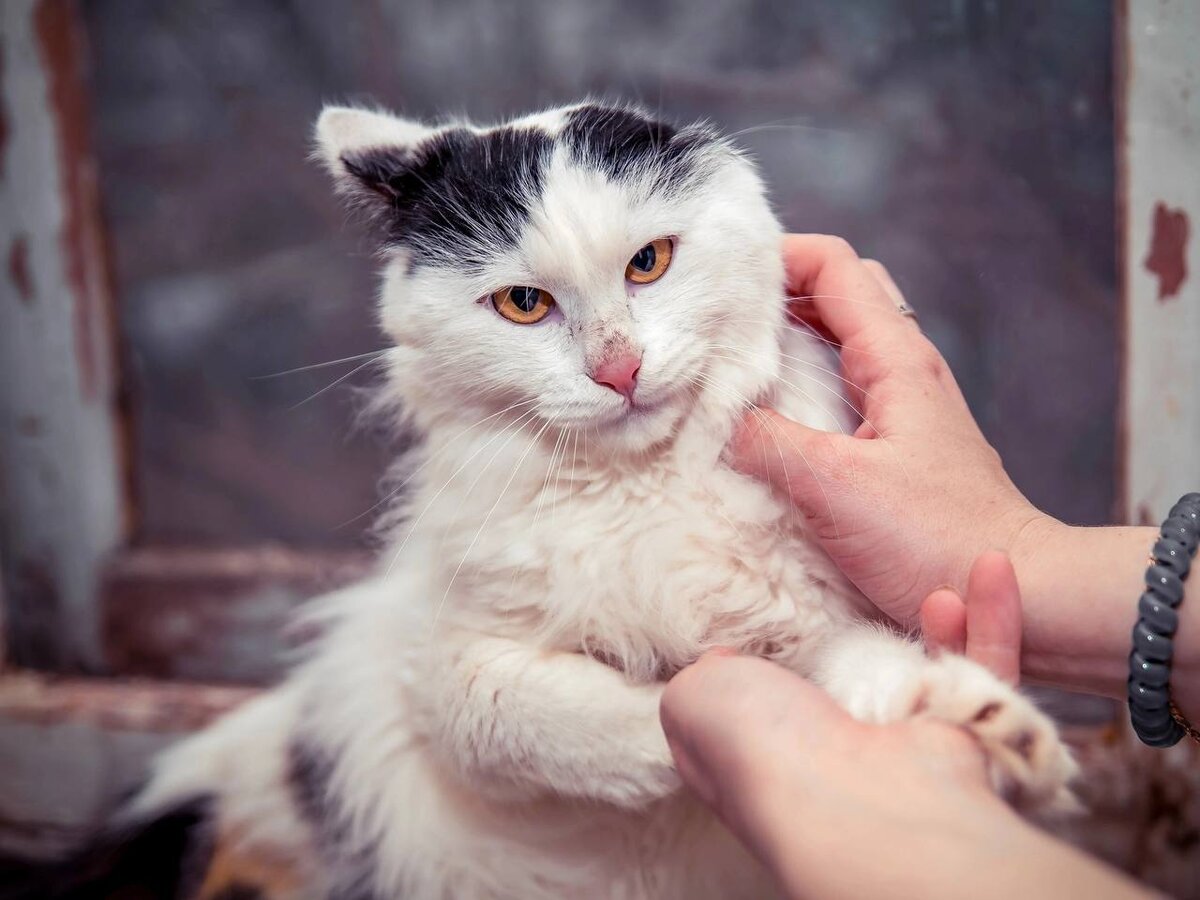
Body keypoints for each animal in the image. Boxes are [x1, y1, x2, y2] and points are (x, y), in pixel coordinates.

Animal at [28, 100, 1084, 900]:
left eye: (649, 264)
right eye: (524, 305)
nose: (618, 369)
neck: (640, 498)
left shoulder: (815, 615)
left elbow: (859, 671)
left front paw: (985, 730)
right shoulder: (449, 678)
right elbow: (613, 723)